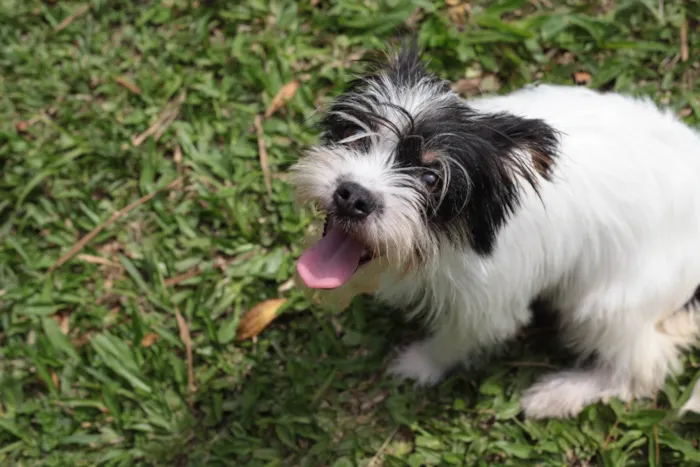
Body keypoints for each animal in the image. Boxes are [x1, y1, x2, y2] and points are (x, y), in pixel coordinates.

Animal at [288, 44, 700, 418]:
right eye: (355, 133)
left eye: (432, 178)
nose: (353, 196)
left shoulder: (489, 303)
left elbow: (458, 338)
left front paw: (420, 363)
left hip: (607, 304)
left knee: (641, 369)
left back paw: (560, 395)